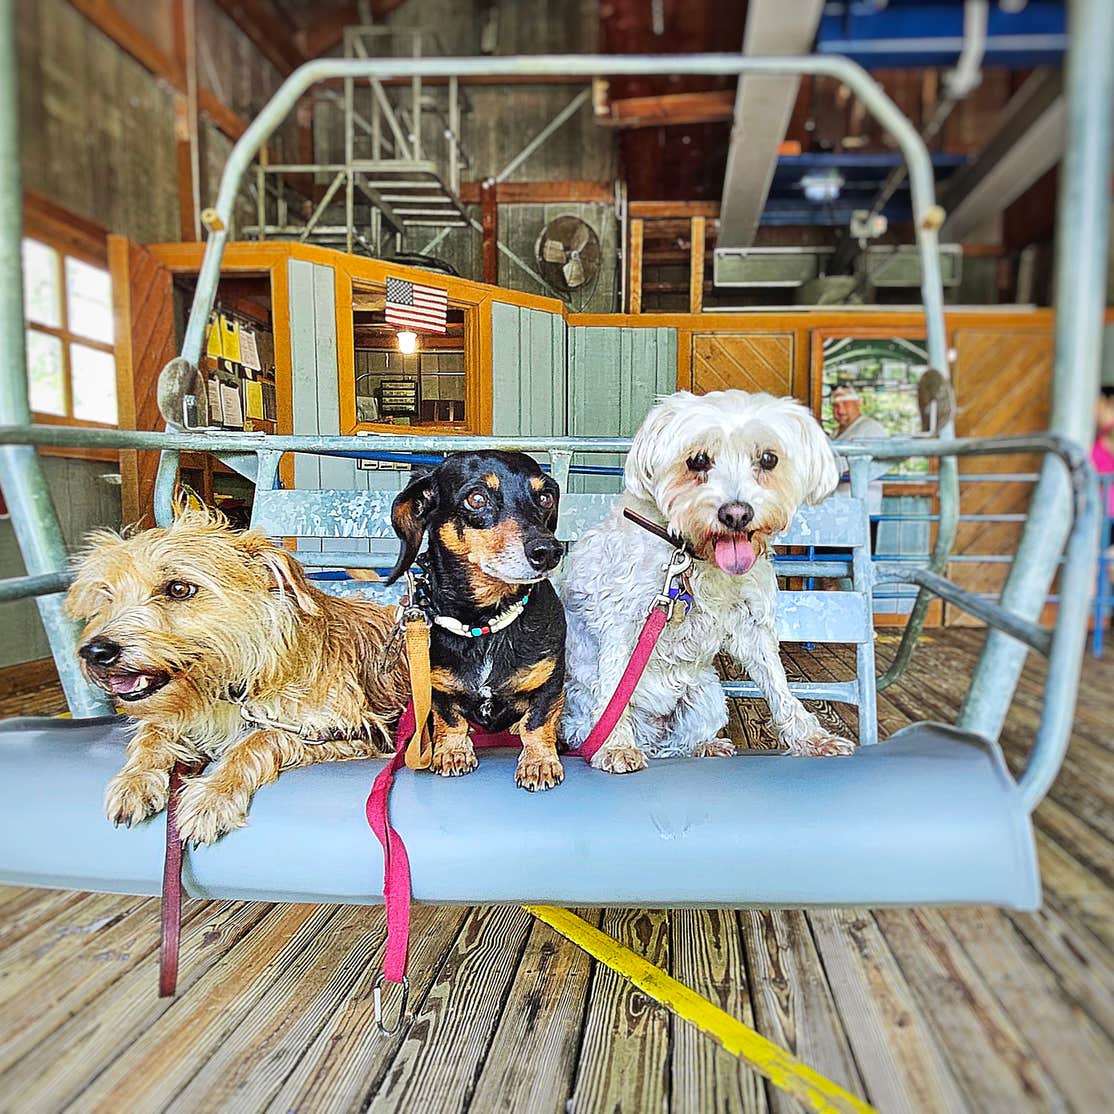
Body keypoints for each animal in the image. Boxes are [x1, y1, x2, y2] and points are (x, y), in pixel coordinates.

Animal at [561, 387, 855, 770]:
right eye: (698, 460)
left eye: (768, 459)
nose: (736, 514)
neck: (691, 555)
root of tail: (652, 730)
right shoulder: (621, 624)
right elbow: (613, 688)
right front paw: (615, 746)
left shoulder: (752, 624)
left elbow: (779, 686)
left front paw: (813, 739)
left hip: (707, 698)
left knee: (677, 744)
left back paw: (706, 745)